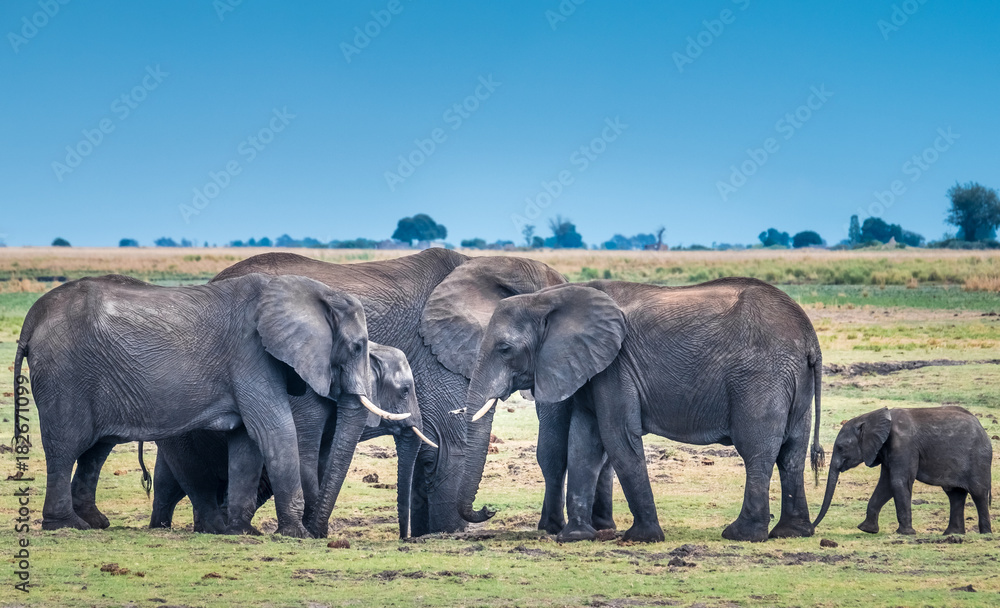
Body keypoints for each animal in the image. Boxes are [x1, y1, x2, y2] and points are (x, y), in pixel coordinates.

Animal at [13, 273, 401, 537]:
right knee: (67, 445)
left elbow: (247, 441)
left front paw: (243, 531)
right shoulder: (250, 355)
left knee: (95, 450)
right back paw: (66, 525)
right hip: (65, 374)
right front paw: (295, 535)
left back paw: (95, 523)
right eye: (357, 346)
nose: (323, 535)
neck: (310, 290)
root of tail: (33, 316)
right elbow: (272, 430)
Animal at [148, 342, 431, 538]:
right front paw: (312, 533)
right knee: (193, 480)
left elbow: (322, 461)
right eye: (405, 391)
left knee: (168, 485)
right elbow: (304, 458)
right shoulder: (305, 401)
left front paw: (313, 530)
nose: (404, 539)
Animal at [465, 278, 824, 543]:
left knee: (757, 451)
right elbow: (585, 443)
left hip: (761, 377)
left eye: (505, 349)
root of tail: (810, 339)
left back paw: (741, 535)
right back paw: (791, 533)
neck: (549, 298)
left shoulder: (616, 365)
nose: (489, 509)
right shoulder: (592, 367)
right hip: (793, 380)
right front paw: (575, 537)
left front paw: (642, 538)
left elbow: (617, 437)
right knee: (792, 452)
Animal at [813, 406, 993, 536]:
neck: (873, 417)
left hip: (978, 459)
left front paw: (905, 534)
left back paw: (985, 534)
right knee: (955, 494)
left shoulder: (903, 444)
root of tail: (982, 429)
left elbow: (898, 482)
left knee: (978, 493)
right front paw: (867, 529)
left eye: (840, 448)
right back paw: (952, 534)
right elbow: (885, 485)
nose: (812, 529)